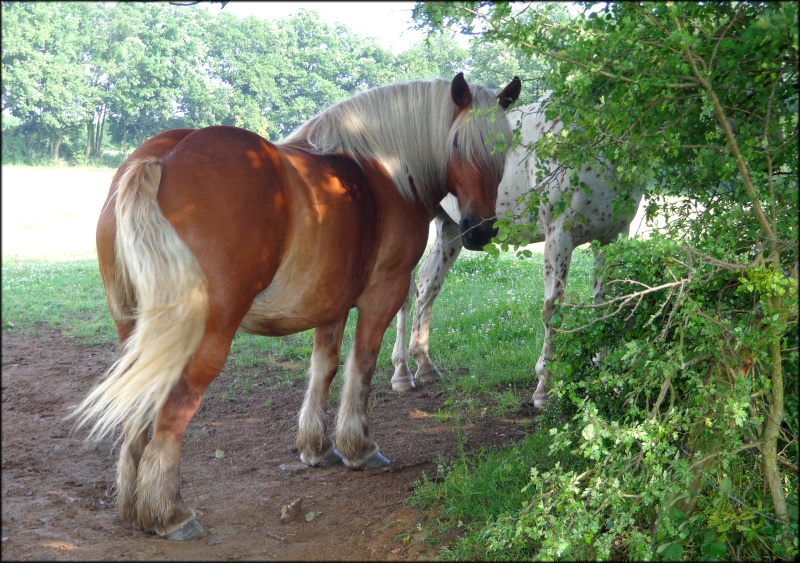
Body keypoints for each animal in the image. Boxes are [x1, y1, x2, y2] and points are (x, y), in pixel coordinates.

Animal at [72, 72, 520, 540]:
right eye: (458, 144)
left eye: (504, 145)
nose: (480, 231)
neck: (385, 170)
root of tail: (162, 158)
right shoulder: (384, 291)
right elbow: (362, 365)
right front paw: (359, 446)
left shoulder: (331, 304)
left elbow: (324, 368)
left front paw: (317, 446)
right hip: (201, 338)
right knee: (172, 412)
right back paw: (169, 512)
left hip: (137, 333)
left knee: (138, 410)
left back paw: (132, 506)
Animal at [390, 97, 640, 406]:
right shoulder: (559, 234)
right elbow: (552, 308)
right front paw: (544, 387)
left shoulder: (612, 238)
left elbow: (604, 302)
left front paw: (603, 372)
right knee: (406, 292)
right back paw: (401, 373)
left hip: (451, 227)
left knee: (428, 284)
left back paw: (424, 365)